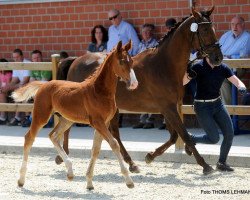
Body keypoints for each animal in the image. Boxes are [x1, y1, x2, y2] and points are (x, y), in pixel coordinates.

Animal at [12, 40, 138, 189]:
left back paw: (70, 172)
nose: (134, 83)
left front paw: (89, 183)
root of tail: (44, 85)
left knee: (53, 135)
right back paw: (21, 179)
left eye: (131, 61)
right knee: (29, 138)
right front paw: (129, 181)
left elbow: (96, 149)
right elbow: (114, 144)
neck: (99, 91)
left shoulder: (104, 122)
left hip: (67, 119)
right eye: (122, 61)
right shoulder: (98, 122)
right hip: (41, 115)